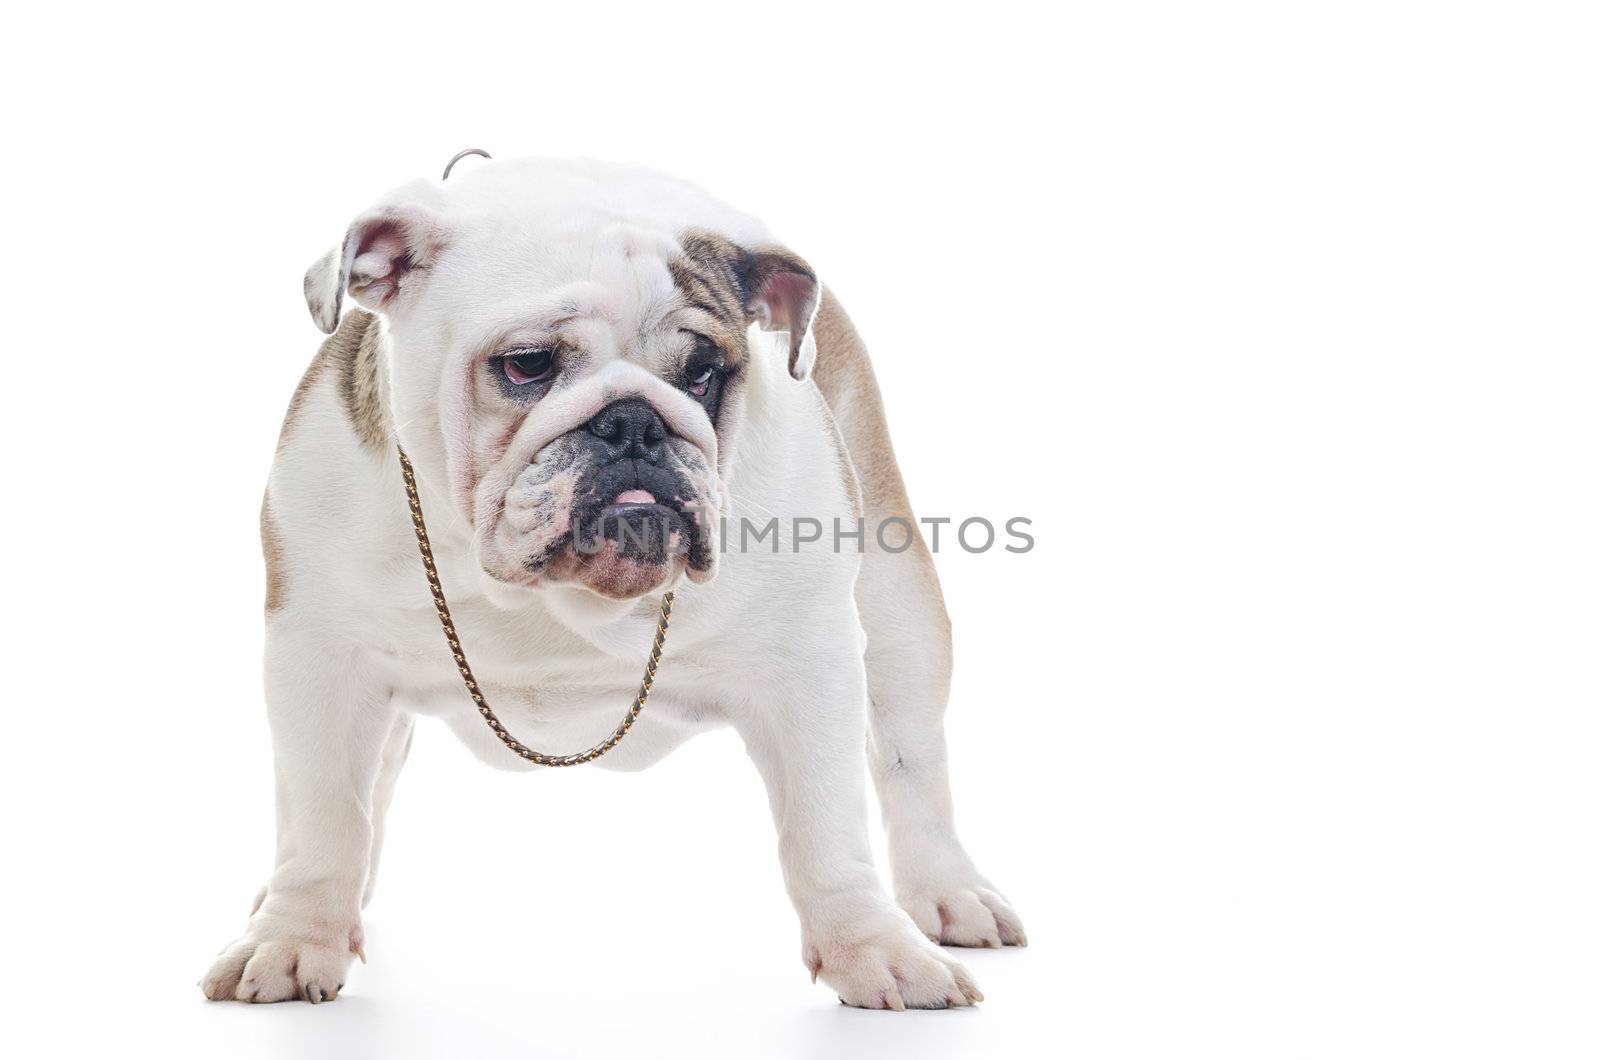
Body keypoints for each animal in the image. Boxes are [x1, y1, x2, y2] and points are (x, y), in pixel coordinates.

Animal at [203, 157, 1024, 1011]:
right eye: (528, 363)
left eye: (705, 372)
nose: (634, 421)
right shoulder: (318, 660)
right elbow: (325, 813)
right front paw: (295, 938)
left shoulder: (812, 665)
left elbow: (827, 825)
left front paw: (874, 952)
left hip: (900, 609)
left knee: (911, 759)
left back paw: (947, 892)